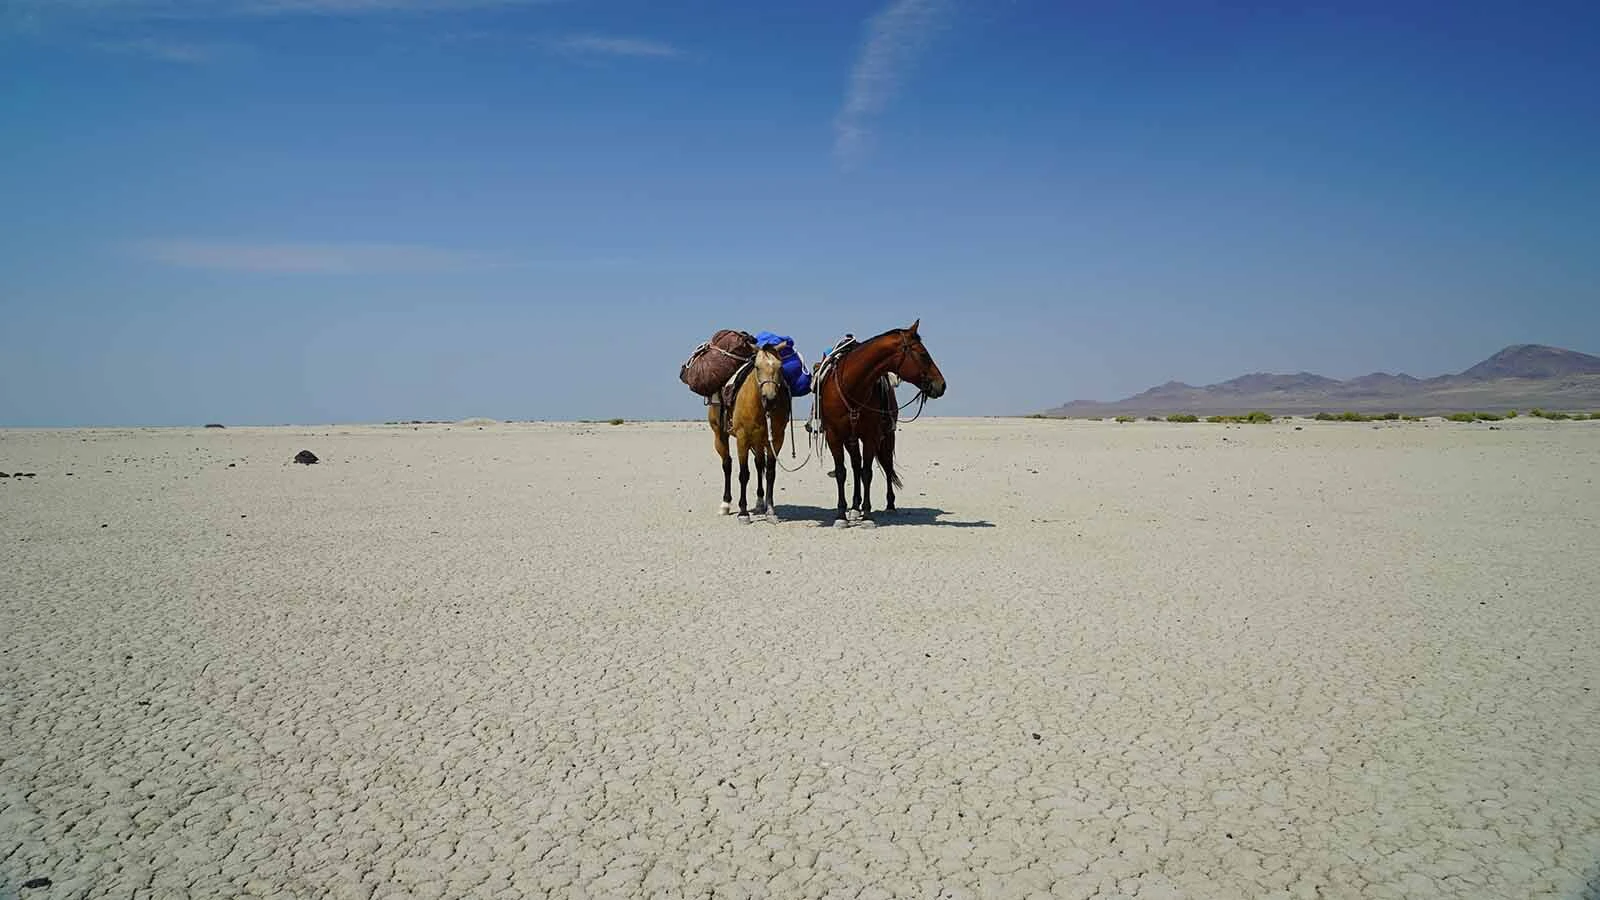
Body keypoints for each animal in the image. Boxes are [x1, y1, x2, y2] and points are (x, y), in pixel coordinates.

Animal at [708, 345, 791, 521]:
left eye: (779, 367)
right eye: (757, 367)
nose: (770, 399)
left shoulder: (776, 439)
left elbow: (770, 473)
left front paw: (770, 510)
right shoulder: (742, 438)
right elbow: (744, 474)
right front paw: (743, 512)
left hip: (759, 441)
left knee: (759, 465)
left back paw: (760, 503)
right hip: (720, 435)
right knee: (727, 464)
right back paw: (725, 504)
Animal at [815, 319, 946, 526]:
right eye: (924, 355)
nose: (941, 385)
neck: (852, 385)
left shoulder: (871, 436)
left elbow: (868, 473)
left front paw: (867, 515)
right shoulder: (834, 436)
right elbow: (842, 472)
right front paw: (841, 515)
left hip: (887, 437)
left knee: (886, 465)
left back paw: (889, 505)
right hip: (851, 439)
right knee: (856, 466)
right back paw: (855, 507)